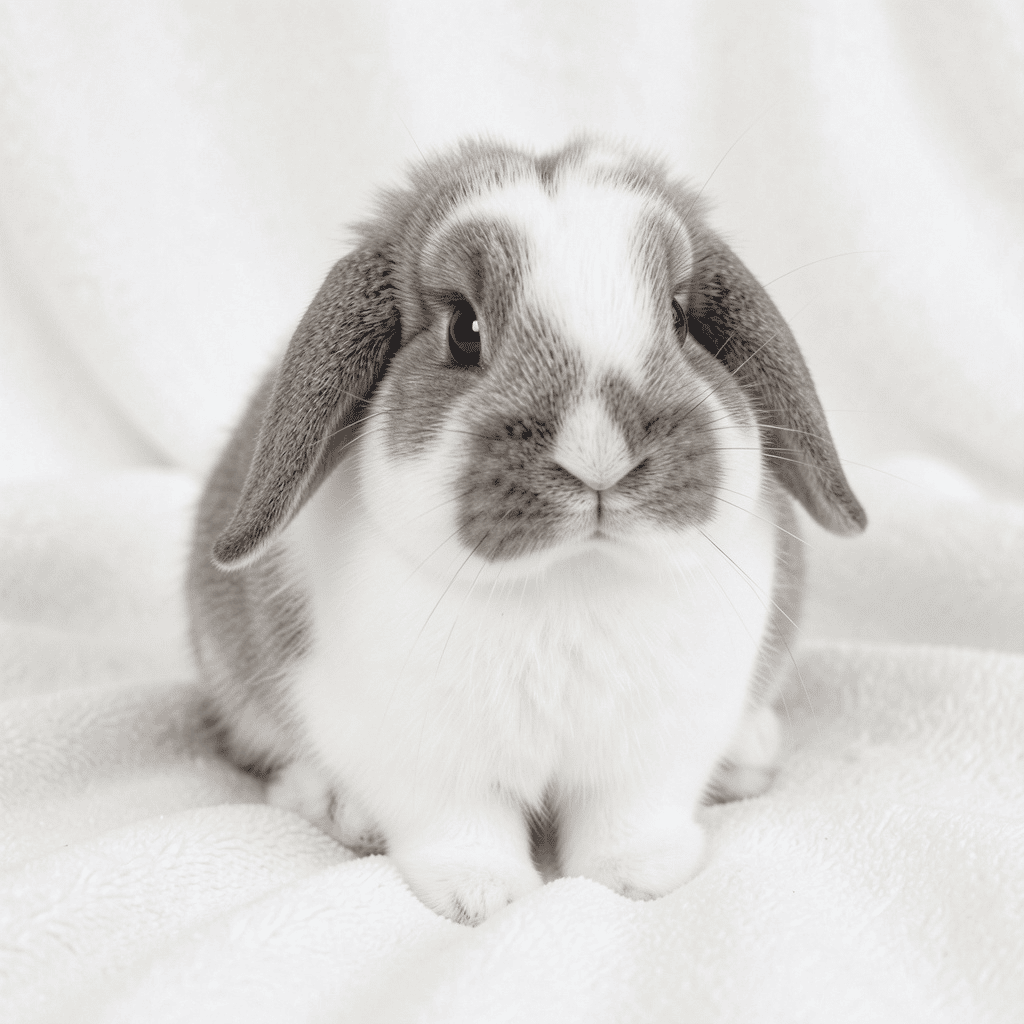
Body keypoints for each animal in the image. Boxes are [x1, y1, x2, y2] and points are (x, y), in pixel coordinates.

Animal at [187, 136, 866, 925]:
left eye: (678, 316)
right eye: (464, 330)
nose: (599, 454)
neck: (568, 578)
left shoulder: (656, 749)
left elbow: (630, 818)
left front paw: (638, 879)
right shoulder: (417, 758)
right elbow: (460, 827)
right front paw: (479, 896)